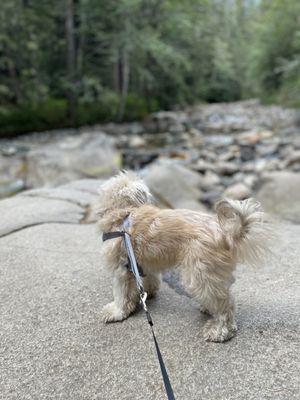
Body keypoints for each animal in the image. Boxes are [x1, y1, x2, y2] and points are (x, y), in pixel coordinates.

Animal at [97, 170, 270, 342]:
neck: (125, 214)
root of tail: (226, 233)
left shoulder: (121, 270)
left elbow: (122, 294)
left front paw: (116, 312)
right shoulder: (144, 263)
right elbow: (148, 280)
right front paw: (146, 294)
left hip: (198, 276)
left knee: (225, 305)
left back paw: (219, 330)